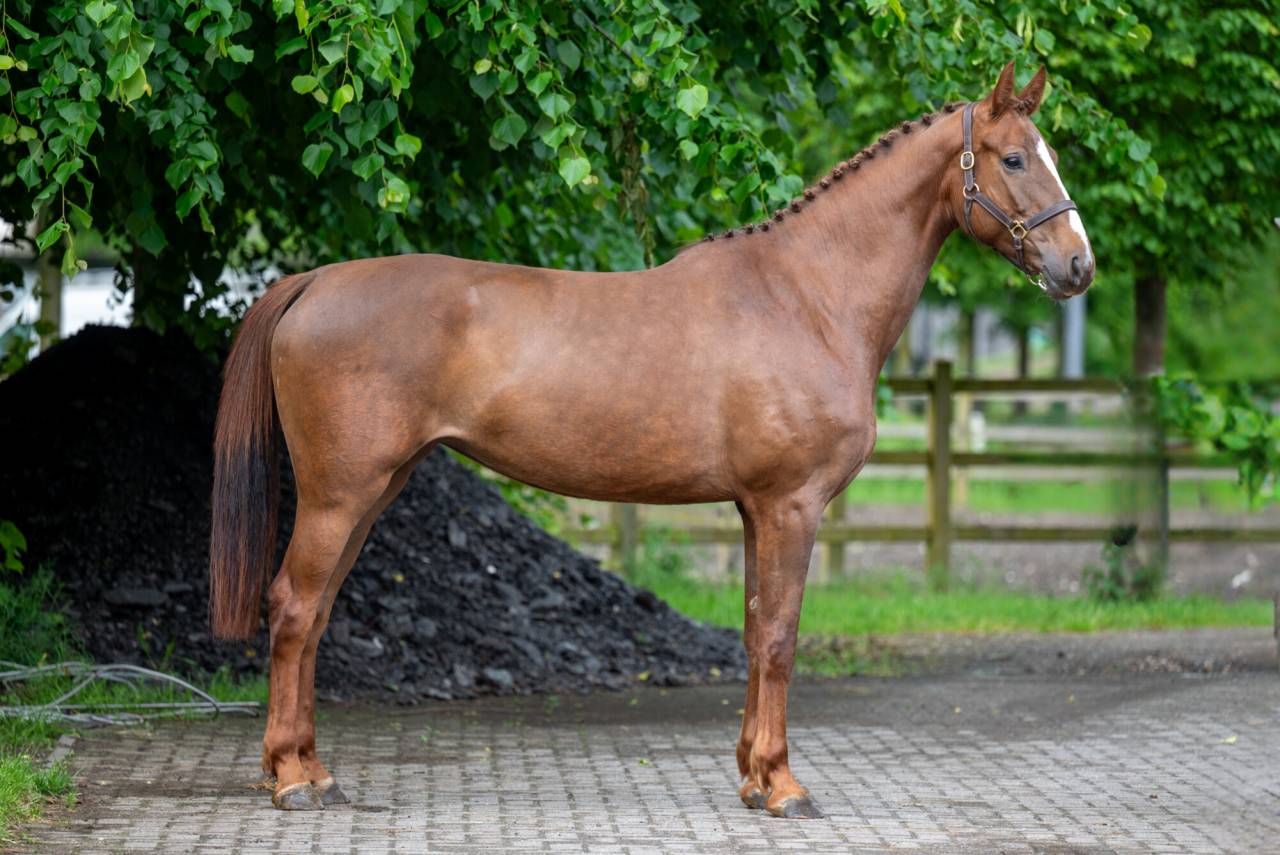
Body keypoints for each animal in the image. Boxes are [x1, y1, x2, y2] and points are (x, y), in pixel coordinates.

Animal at [209, 61, 1094, 817]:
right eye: (1015, 157)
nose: (1078, 267)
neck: (807, 296)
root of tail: (313, 281)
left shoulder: (754, 509)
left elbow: (753, 630)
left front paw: (752, 776)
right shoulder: (791, 505)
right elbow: (781, 637)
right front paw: (783, 784)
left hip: (372, 490)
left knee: (316, 614)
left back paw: (312, 768)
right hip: (340, 493)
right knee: (294, 608)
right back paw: (293, 778)